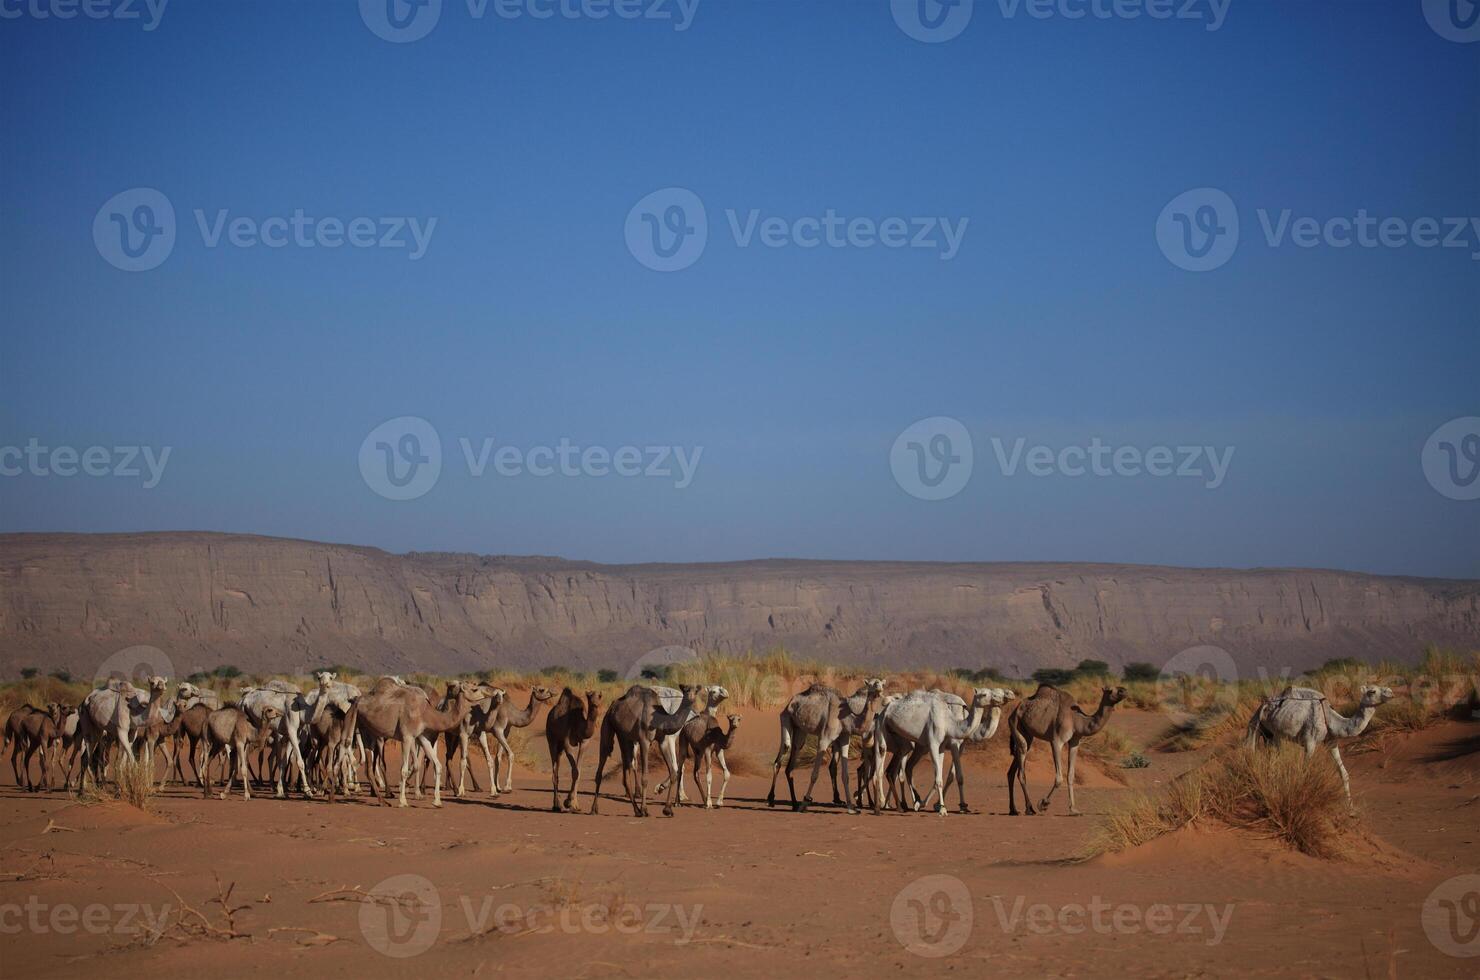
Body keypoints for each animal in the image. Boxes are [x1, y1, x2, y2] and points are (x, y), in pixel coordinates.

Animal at [589, 686, 698, 817]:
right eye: (686, 690)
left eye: (696, 690)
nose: (691, 699)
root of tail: (612, 707)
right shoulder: (644, 741)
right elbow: (645, 778)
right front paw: (645, 809)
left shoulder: (663, 741)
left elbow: (673, 772)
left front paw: (667, 809)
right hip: (607, 725)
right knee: (602, 763)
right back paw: (594, 809)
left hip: (624, 737)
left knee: (627, 770)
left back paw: (636, 810)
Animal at [1006, 686, 1130, 817]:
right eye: (1111, 690)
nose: (1124, 691)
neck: (1077, 720)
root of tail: (1014, 711)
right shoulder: (1056, 741)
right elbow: (1059, 778)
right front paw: (1043, 804)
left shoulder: (1075, 742)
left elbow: (1070, 775)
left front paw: (1074, 809)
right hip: (1015, 724)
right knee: (1021, 769)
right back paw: (1030, 809)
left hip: (1027, 734)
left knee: (1012, 770)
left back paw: (1013, 810)